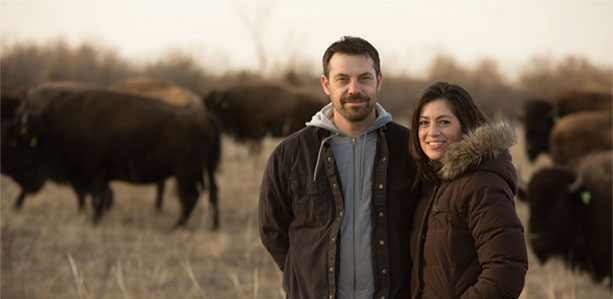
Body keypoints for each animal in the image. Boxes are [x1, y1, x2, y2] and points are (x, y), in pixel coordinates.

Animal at [5, 85, 221, 229]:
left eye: (16, 143)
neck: (52, 127)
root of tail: (207, 118)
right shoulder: (93, 177)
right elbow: (96, 197)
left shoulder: (94, 174)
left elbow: (97, 198)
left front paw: (94, 221)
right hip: (203, 171)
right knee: (210, 193)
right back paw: (211, 226)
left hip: (186, 173)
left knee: (191, 196)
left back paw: (176, 226)